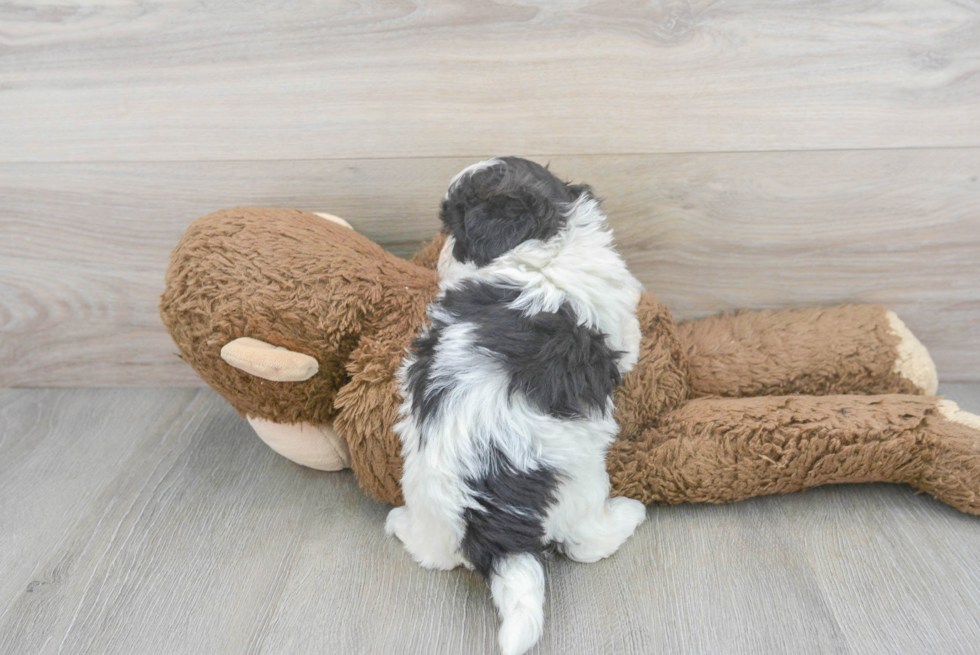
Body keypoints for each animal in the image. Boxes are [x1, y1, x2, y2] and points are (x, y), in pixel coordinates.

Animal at [386, 159, 648, 655]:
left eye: (457, 234)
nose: (440, 258)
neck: (541, 249)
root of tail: (489, 526)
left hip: (427, 501)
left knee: (431, 552)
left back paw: (399, 525)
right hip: (579, 485)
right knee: (585, 542)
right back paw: (628, 515)